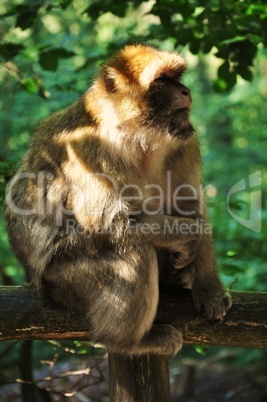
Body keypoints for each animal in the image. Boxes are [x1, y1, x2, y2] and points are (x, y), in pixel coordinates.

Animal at [4, 44, 231, 354]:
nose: (185, 91)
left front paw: (209, 288)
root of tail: (33, 281)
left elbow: (192, 204)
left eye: (176, 77)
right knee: (133, 251)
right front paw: (189, 238)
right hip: (62, 282)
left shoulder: (185, 142)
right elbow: (107, 221)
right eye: (162, 80)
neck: (138, 135)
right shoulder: (90, 149)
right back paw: (129, 342)